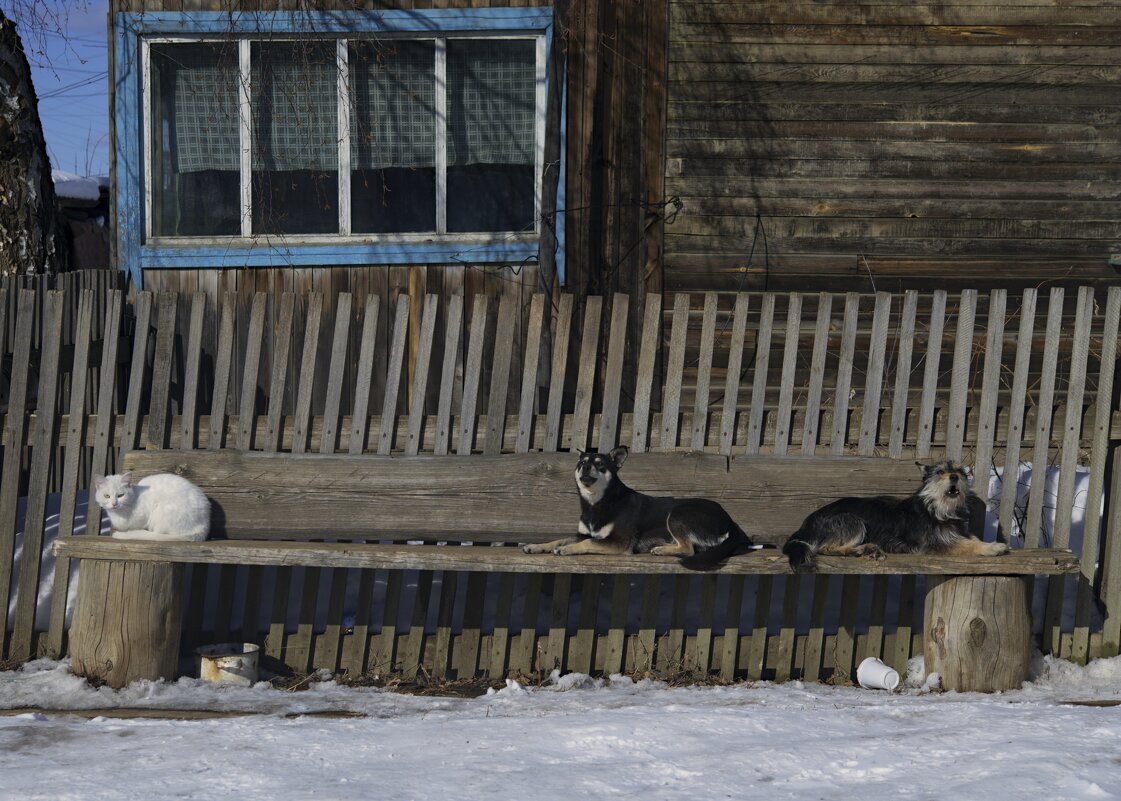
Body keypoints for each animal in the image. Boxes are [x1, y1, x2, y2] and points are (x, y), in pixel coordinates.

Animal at [522, 448, 753, 573]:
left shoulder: (618, 542)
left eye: (600, 464)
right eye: (582, 463)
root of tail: (729, 520)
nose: (585, 468)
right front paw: (535, 546)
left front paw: (567, 549)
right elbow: (559, 539)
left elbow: (586, 543)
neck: (598, 502)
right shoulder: (583, 534)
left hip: (678, 514)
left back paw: (662, 550)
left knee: (689, 549)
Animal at [780, 461, 1008, 573]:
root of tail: (805, 526)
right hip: (851, 520)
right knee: (825, 548)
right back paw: (859, 550)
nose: (954, 477)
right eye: (940, 472)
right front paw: (993, 547)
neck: (937, 507)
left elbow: (972, 538)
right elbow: (968, 545)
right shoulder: (935, 543)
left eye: (960, 472)